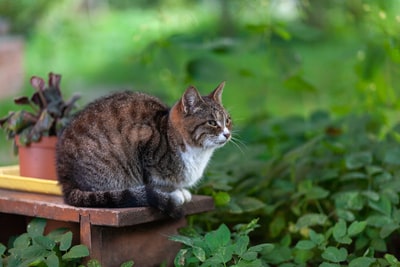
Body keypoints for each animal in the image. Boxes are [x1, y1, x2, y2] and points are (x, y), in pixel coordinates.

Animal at [56, 82, 231, 219]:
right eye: (212, 122)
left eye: (228, 120)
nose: (227, 134)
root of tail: (65, 180)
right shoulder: (143, 141)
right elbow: (155, 182)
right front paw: (173, 193)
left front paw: (181, 190)